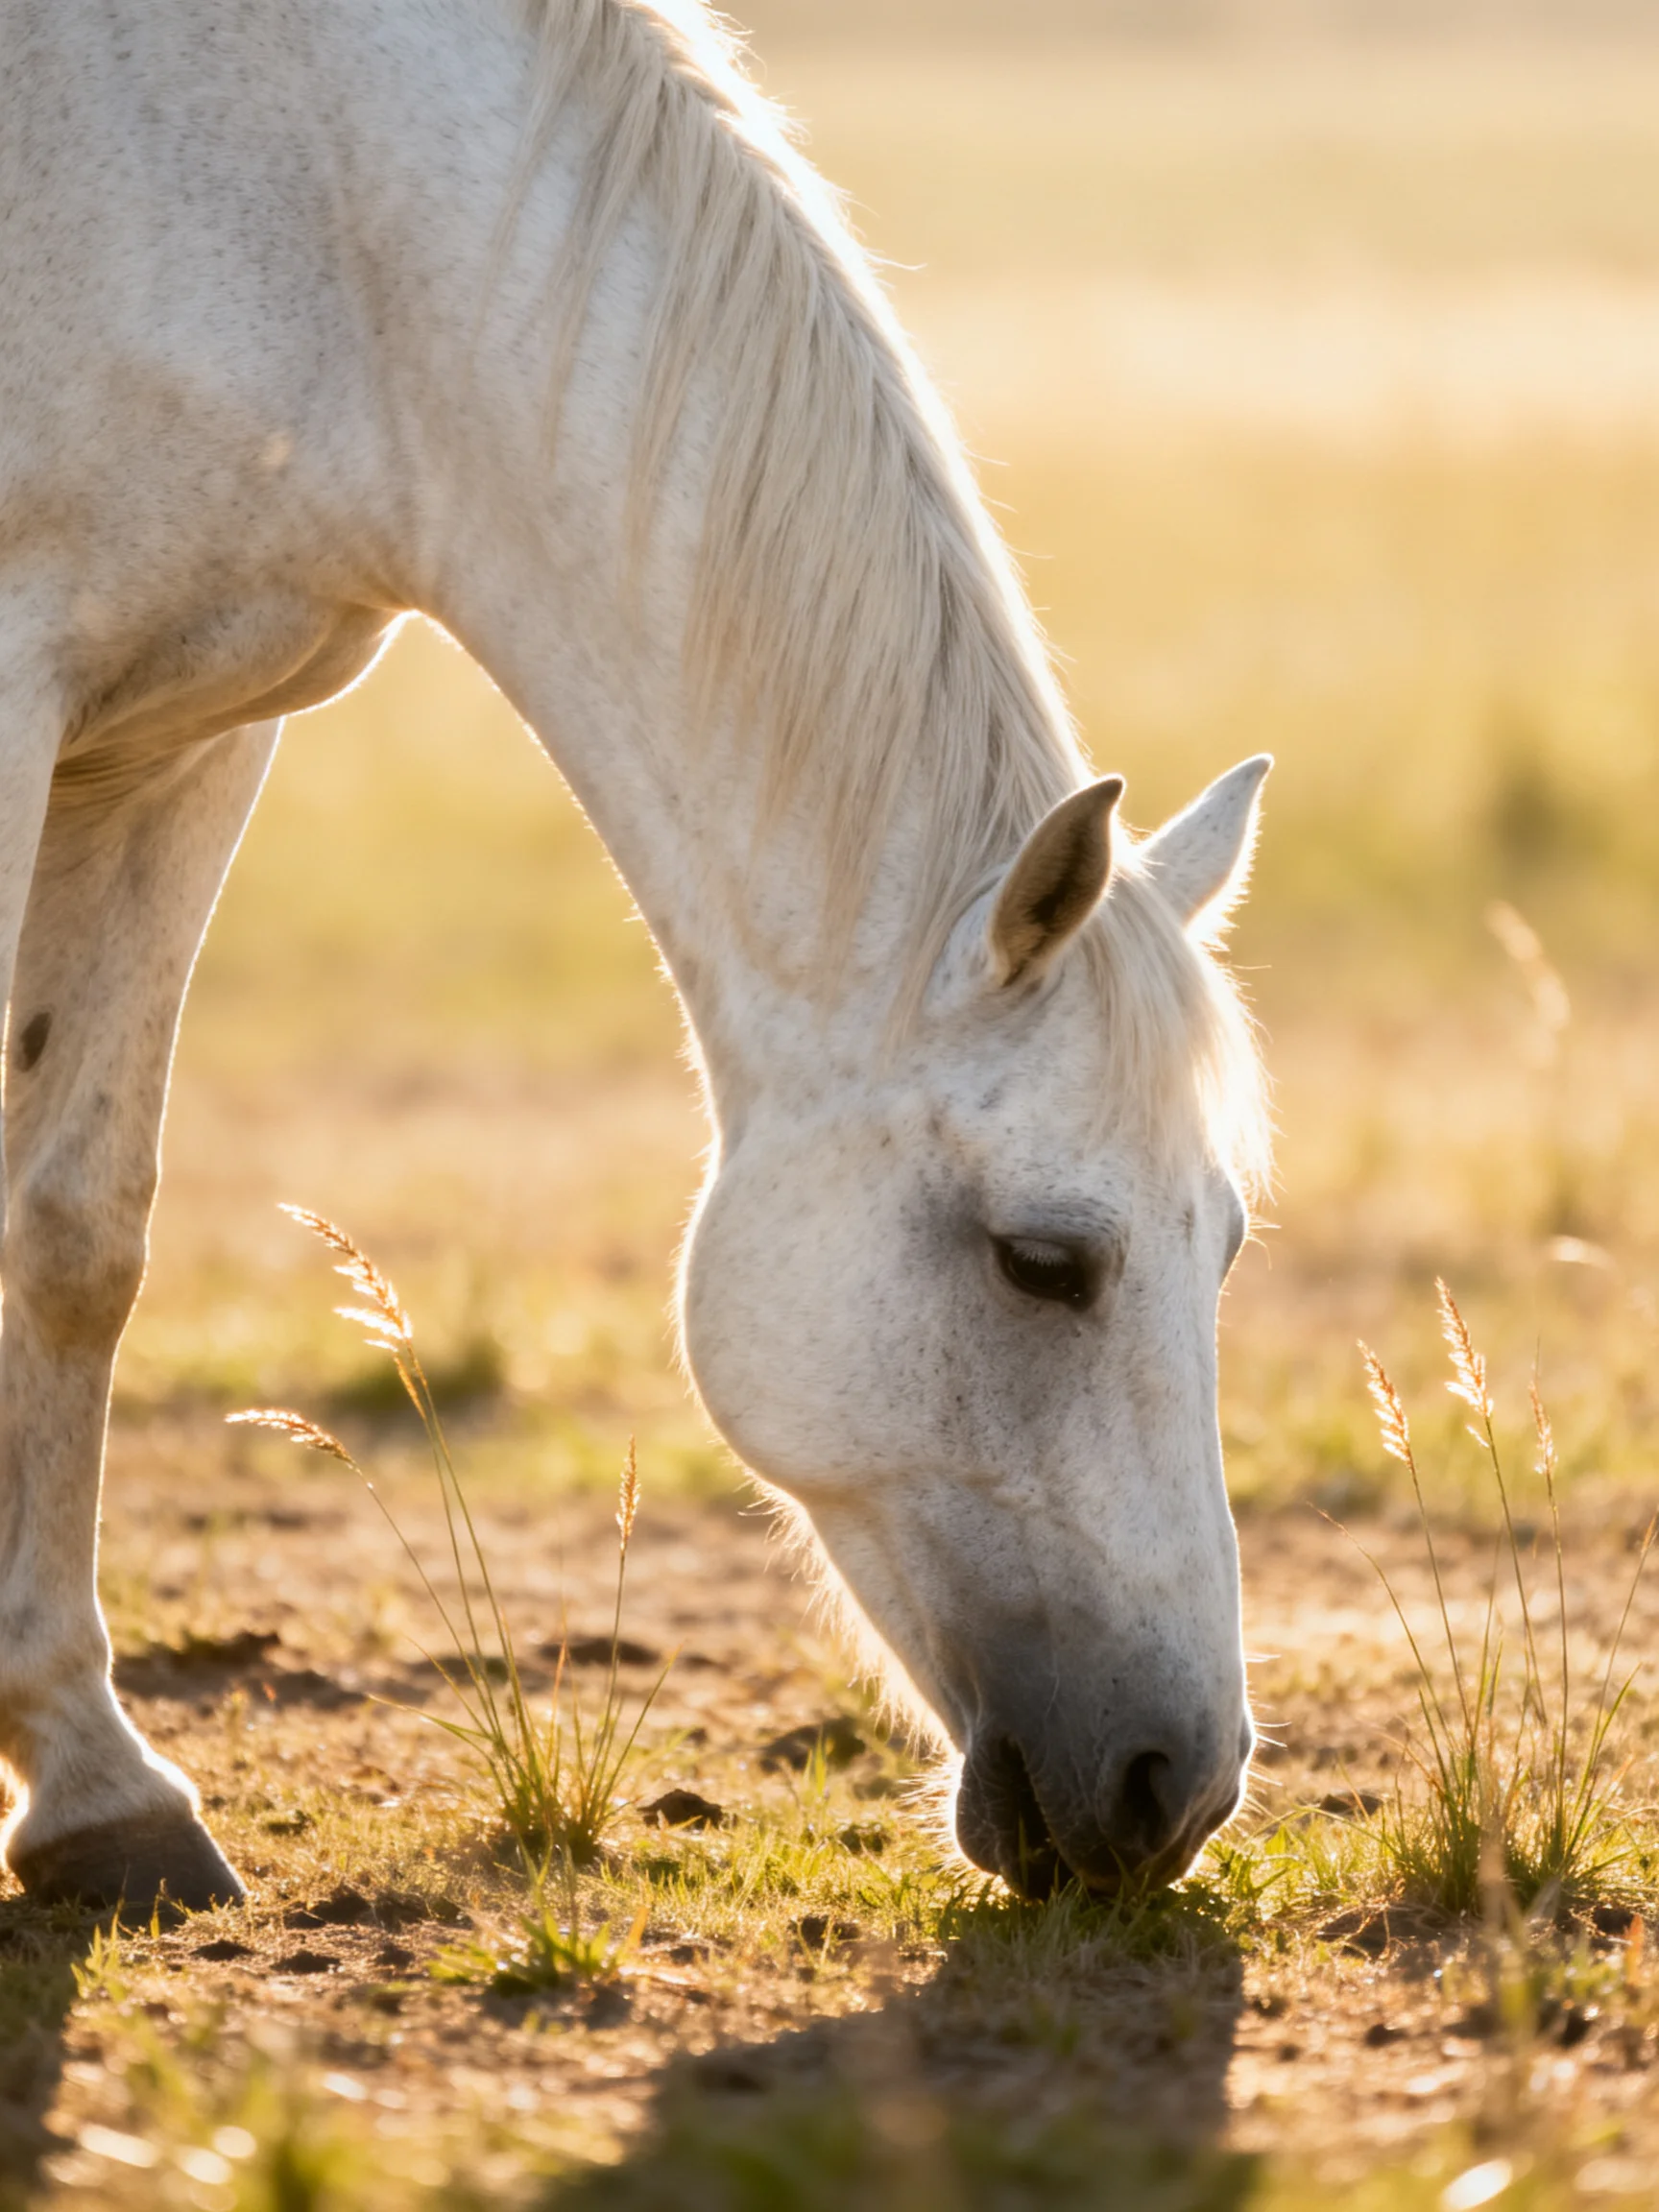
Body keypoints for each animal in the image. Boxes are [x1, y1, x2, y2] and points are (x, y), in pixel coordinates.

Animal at [0, 0, 1271, 1913]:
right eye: (1044, 1262)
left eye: (1228, 1241)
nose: (1172, 1790)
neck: (317, 200)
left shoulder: (183, 741)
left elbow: (76, 1232)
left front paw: (94, 1792)